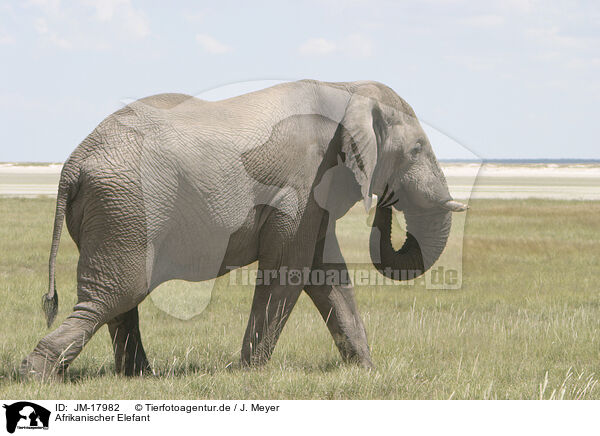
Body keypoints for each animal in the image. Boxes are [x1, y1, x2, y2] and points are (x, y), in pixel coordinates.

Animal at [19, 81, 468, 378]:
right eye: (416, 150)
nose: (386, 200)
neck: (348, 88)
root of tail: (73, 164)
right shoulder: (302, 184)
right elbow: (289, 269)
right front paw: (250, 374)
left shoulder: (316, 194)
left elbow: (325, 274)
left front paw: (366, 371)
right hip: (127, 206)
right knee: (115, 294)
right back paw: (35, 374)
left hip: (114, 210)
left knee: (118, 298)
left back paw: (137, 376)